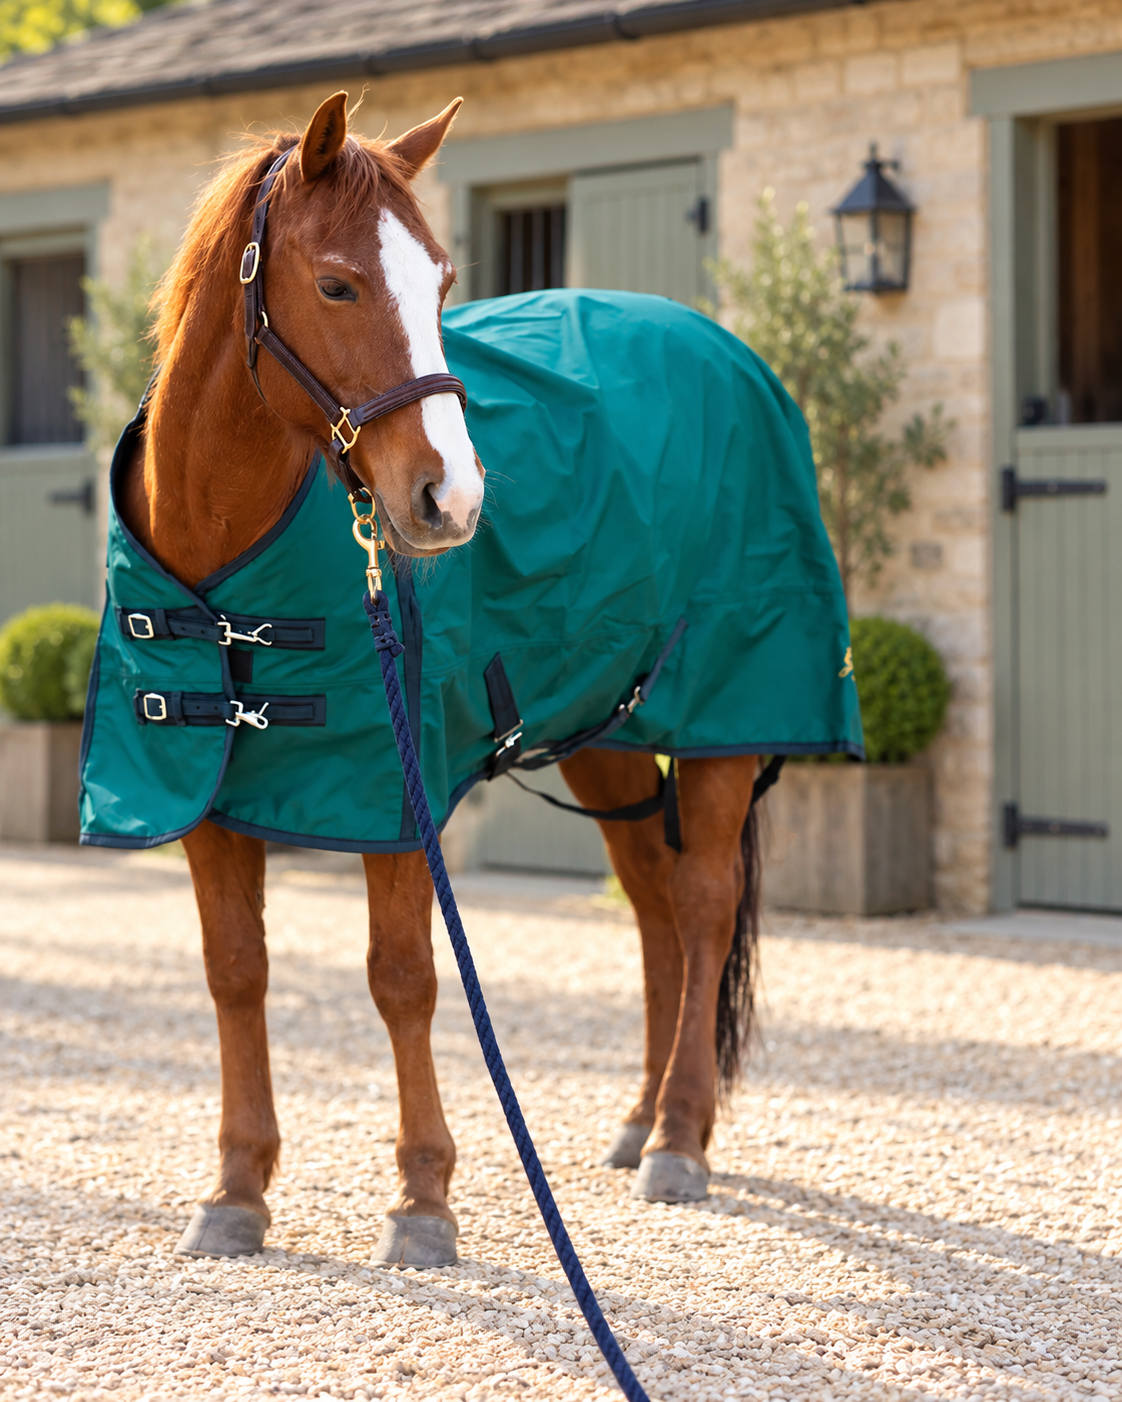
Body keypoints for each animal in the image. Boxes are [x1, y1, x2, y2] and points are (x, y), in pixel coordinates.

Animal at [114, 92, 771, 1266]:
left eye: (445, 283)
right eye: (337, 284)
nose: (452, 499)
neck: (223, 562)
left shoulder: (396, 791)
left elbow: (404, 979)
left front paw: (423, 1200)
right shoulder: (209, 802)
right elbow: (235, 969)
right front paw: (236, 1190)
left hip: (721, 726)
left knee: (701, 903)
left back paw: (680, 1138)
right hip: (606, 736)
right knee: (652, 902)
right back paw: (642, 1116)